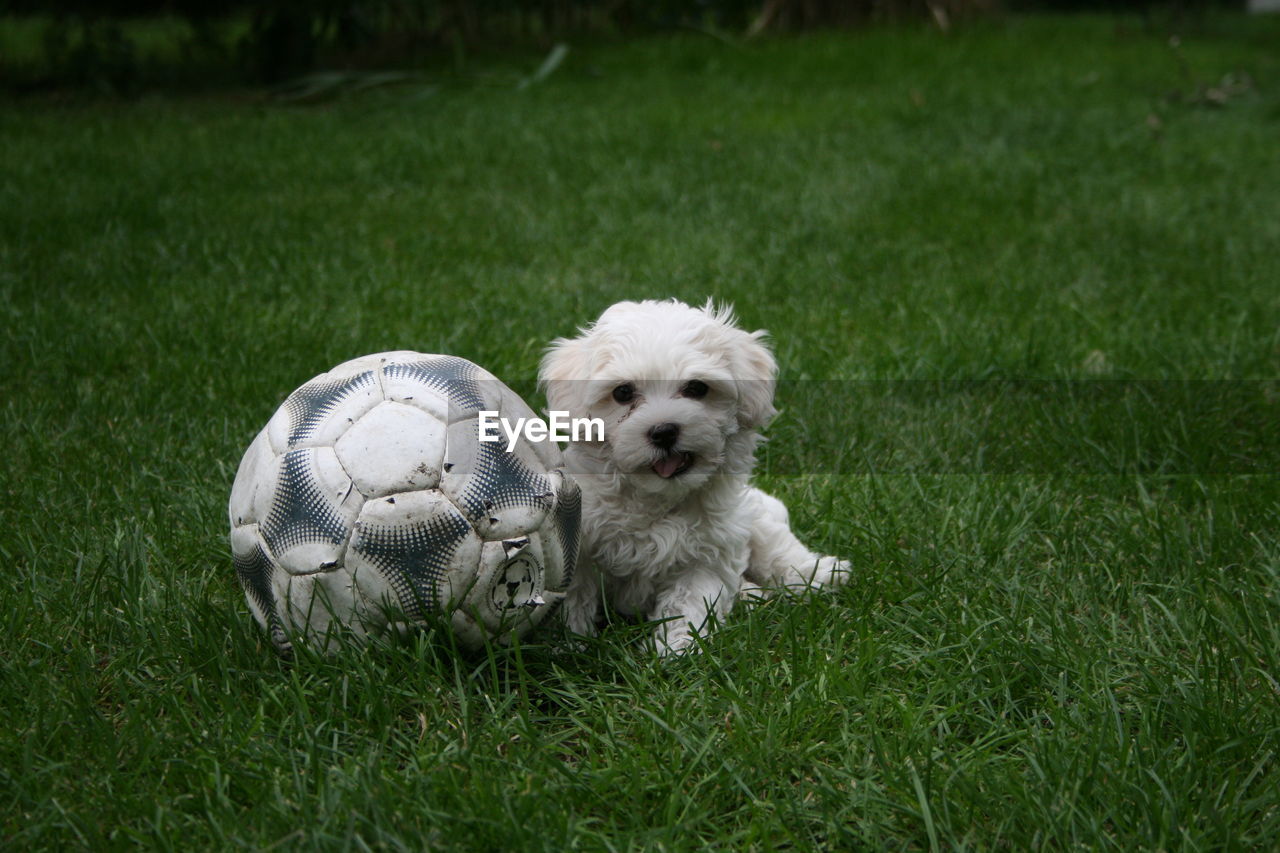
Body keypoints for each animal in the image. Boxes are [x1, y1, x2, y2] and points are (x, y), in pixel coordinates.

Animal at [540, 295, 849, 653]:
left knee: (777, 552)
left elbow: (689, 603)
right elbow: (575, 597)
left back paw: (821, 574)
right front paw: (569, 644)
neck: (654, 498)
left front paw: (677, 651)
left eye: (697, 388)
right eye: (623, 393)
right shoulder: (581, 546)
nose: (663, 431)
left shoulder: (707, 554)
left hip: (754, 519)